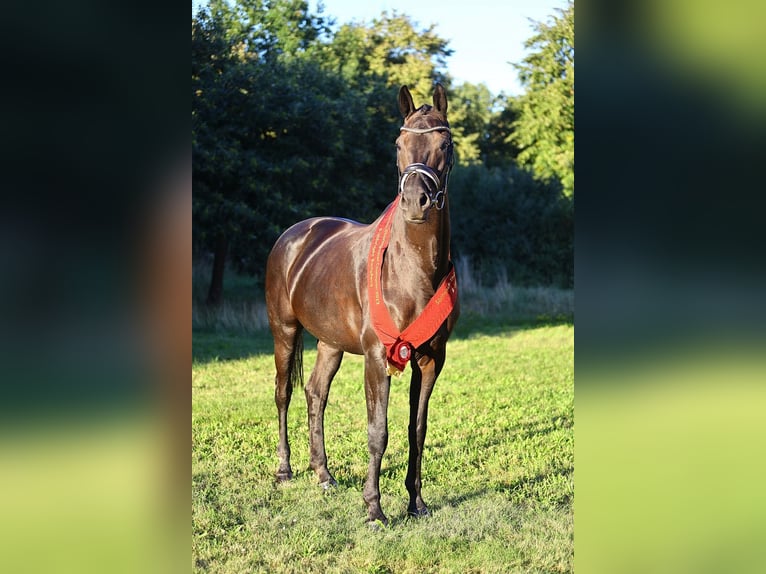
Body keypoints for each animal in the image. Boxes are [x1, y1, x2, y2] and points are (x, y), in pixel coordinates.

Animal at [268, 82, 460, 528]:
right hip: (284, 331)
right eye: (398, 143)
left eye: (445, 143)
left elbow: (416, 429)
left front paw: (416, 504)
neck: (412, 271)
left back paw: (323, 475)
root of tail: (296, 234)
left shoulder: (431, 359)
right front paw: (374, 509)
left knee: (315, 394)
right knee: (284, 393)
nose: (416, 201)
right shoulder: (377, 357)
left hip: (330, 343)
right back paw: (285, 470)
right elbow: (378, 431)